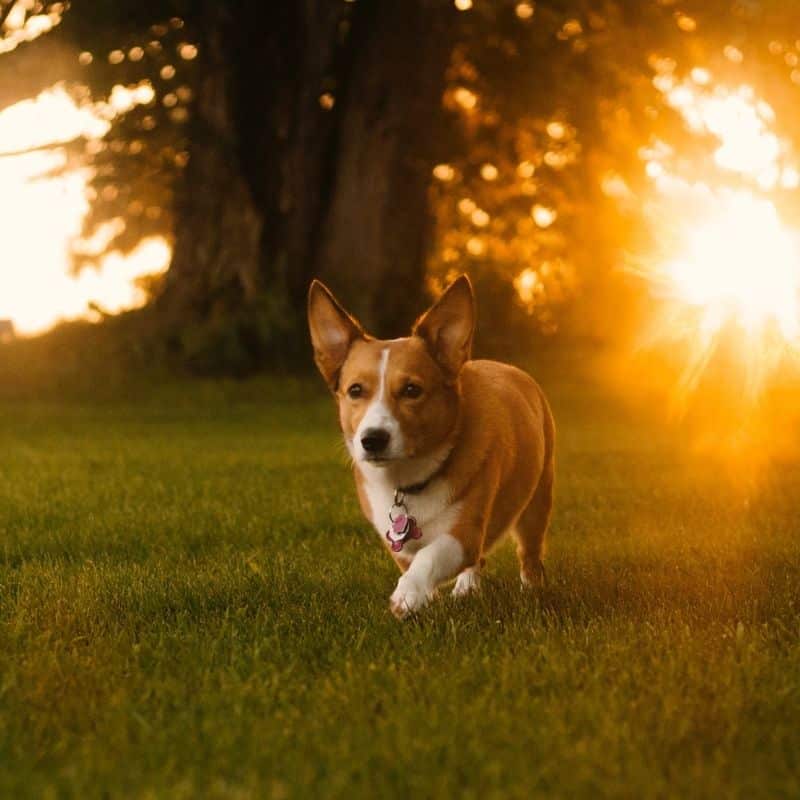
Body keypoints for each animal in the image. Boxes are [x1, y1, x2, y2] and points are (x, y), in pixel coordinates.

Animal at [308, 276, 556, 620]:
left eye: (412, 390)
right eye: (355, 390)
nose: (372, 439)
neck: (409, 482)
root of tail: (507, 367)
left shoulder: (463, 534)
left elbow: (431, 556)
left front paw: (408, 594)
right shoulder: (397, 542)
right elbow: (415, 560)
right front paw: (427, 598)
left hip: (537, 502)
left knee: (528, 551)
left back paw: (532, 588)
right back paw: (467, 588)